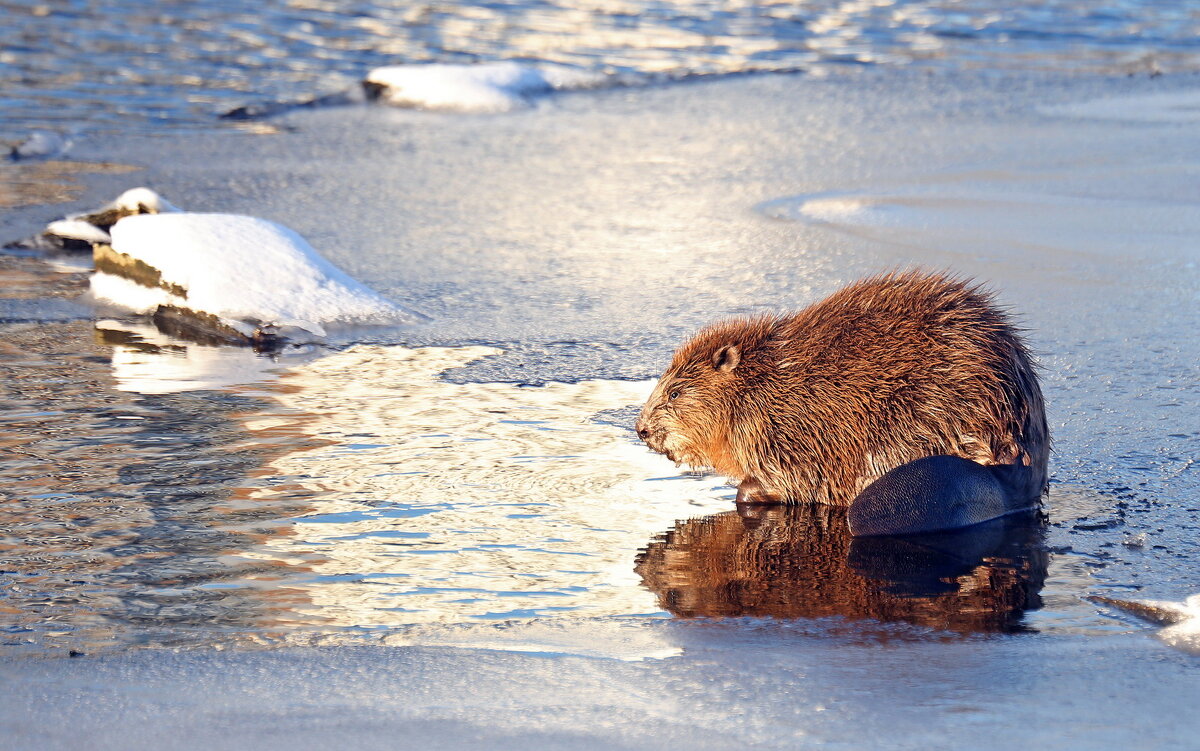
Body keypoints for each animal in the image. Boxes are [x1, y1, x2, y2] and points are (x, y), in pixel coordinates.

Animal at [638, 268, 1051, 532]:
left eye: (675, 392)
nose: (641, 430)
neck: (763, 385)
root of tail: (1004, 477)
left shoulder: (784, 432)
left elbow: (789, 481)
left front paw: (748, 491)